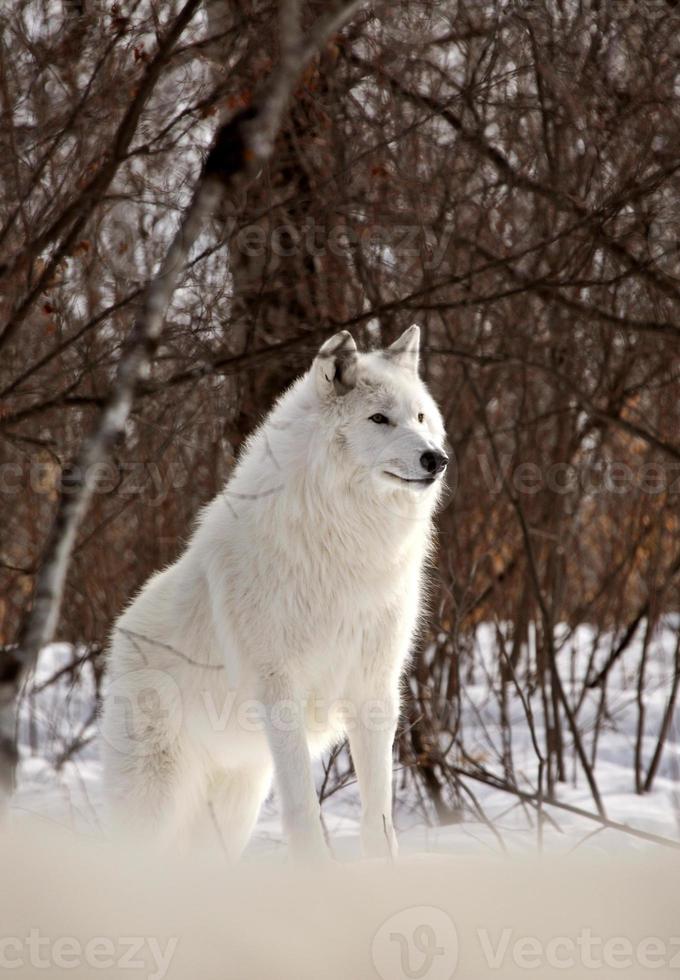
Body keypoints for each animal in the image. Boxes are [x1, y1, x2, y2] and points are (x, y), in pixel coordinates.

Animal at [101, 328, 448, 856]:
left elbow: (379, 820)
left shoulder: (375, 688)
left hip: (235, 802)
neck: (346, 540)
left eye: (421, 417)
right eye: (379, 419)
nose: (437, 458)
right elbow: (304, 813)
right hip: (155, 801)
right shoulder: (280, 689)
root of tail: (121, 631)